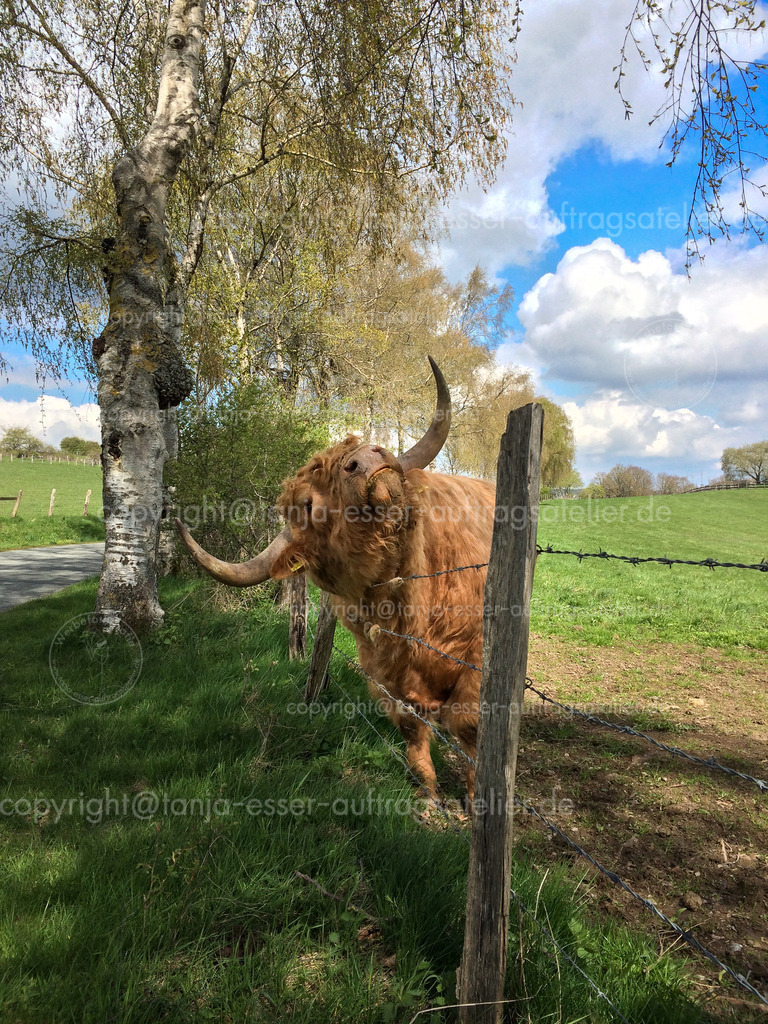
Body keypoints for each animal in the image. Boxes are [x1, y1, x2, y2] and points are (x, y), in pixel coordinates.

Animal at [175, 358, 495, 804]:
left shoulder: (475, 659)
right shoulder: (384, 674)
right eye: (309, 505)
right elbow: (412, 728)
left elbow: (470, 728)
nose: (366, 457)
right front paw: (428, 792)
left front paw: (475, 795)